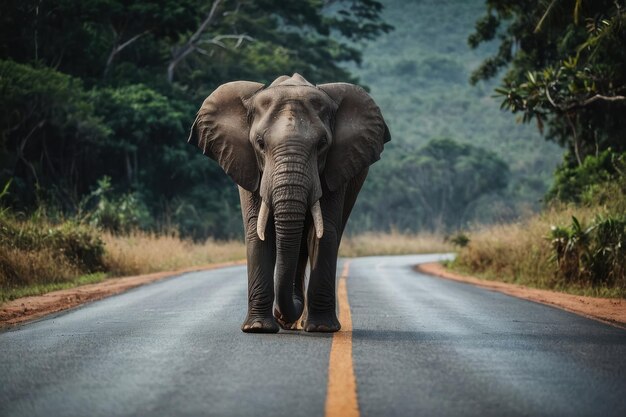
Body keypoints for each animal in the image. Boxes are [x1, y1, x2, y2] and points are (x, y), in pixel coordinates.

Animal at [188, 71, 388, 332]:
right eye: (260, 143)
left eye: (322, 144)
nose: (282, 315)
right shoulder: (248, 166)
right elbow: (258, 232)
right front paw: (258, 328)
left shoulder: (335, 168)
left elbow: (323, 233)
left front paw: (321, 329)